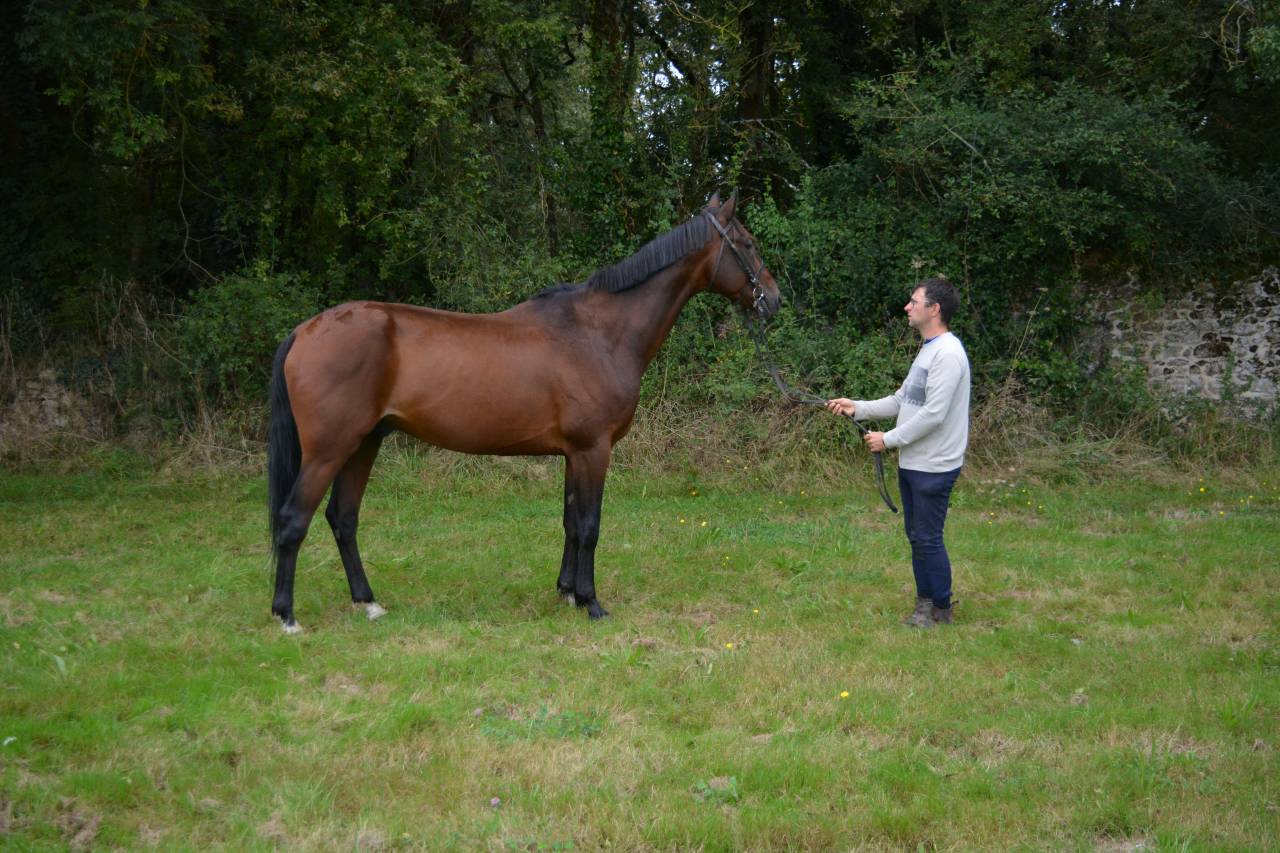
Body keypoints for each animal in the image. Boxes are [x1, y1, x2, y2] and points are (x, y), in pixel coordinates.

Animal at [266, 192, 780, 632]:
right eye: (748, 244)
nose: (773, 300)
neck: (601, 332)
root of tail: (304, 331)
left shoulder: (574, 454)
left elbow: (571, 522)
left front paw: (567, 592)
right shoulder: (594, 450)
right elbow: (589, 527)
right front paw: (592, 603)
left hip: (364, 444)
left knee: (343, 519)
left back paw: (368, 602)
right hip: (330, 450)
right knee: (294, 520)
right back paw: (287, 616)